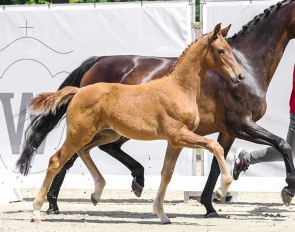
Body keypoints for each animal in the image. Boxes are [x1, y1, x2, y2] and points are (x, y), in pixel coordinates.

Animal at [17, 0, 295, 218]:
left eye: (229, 51)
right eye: (220, 50)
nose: (238, 77)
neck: (249, 63)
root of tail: (96, 63)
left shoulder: (227, 131)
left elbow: (215, 165)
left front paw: (211, 205)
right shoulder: (240, 123)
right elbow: (282, 144)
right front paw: (288, 188)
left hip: (111, 130)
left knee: (95, 150)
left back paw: (126, 184)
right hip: (91, 130)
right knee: (66, 158)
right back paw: (52, 205)